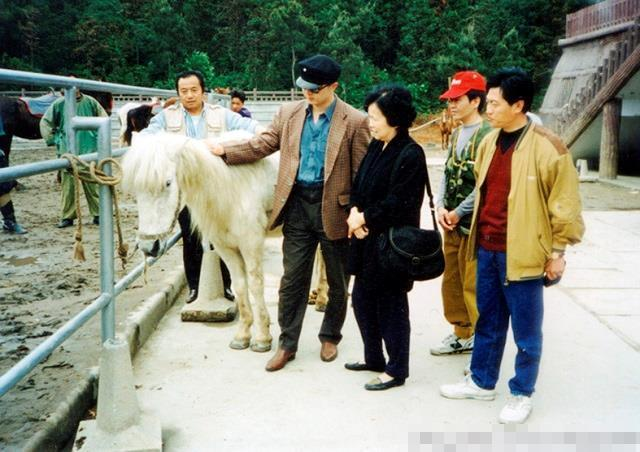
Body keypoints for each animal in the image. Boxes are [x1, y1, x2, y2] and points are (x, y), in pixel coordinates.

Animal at [121, 129, 276, 352]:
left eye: (168, 183)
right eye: (136, 189)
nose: (149, 246)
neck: (232, 184)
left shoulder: (251, 244)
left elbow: (255, 285)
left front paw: (263, 337)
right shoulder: (225, 247)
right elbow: (239, 286)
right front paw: (242, 336)